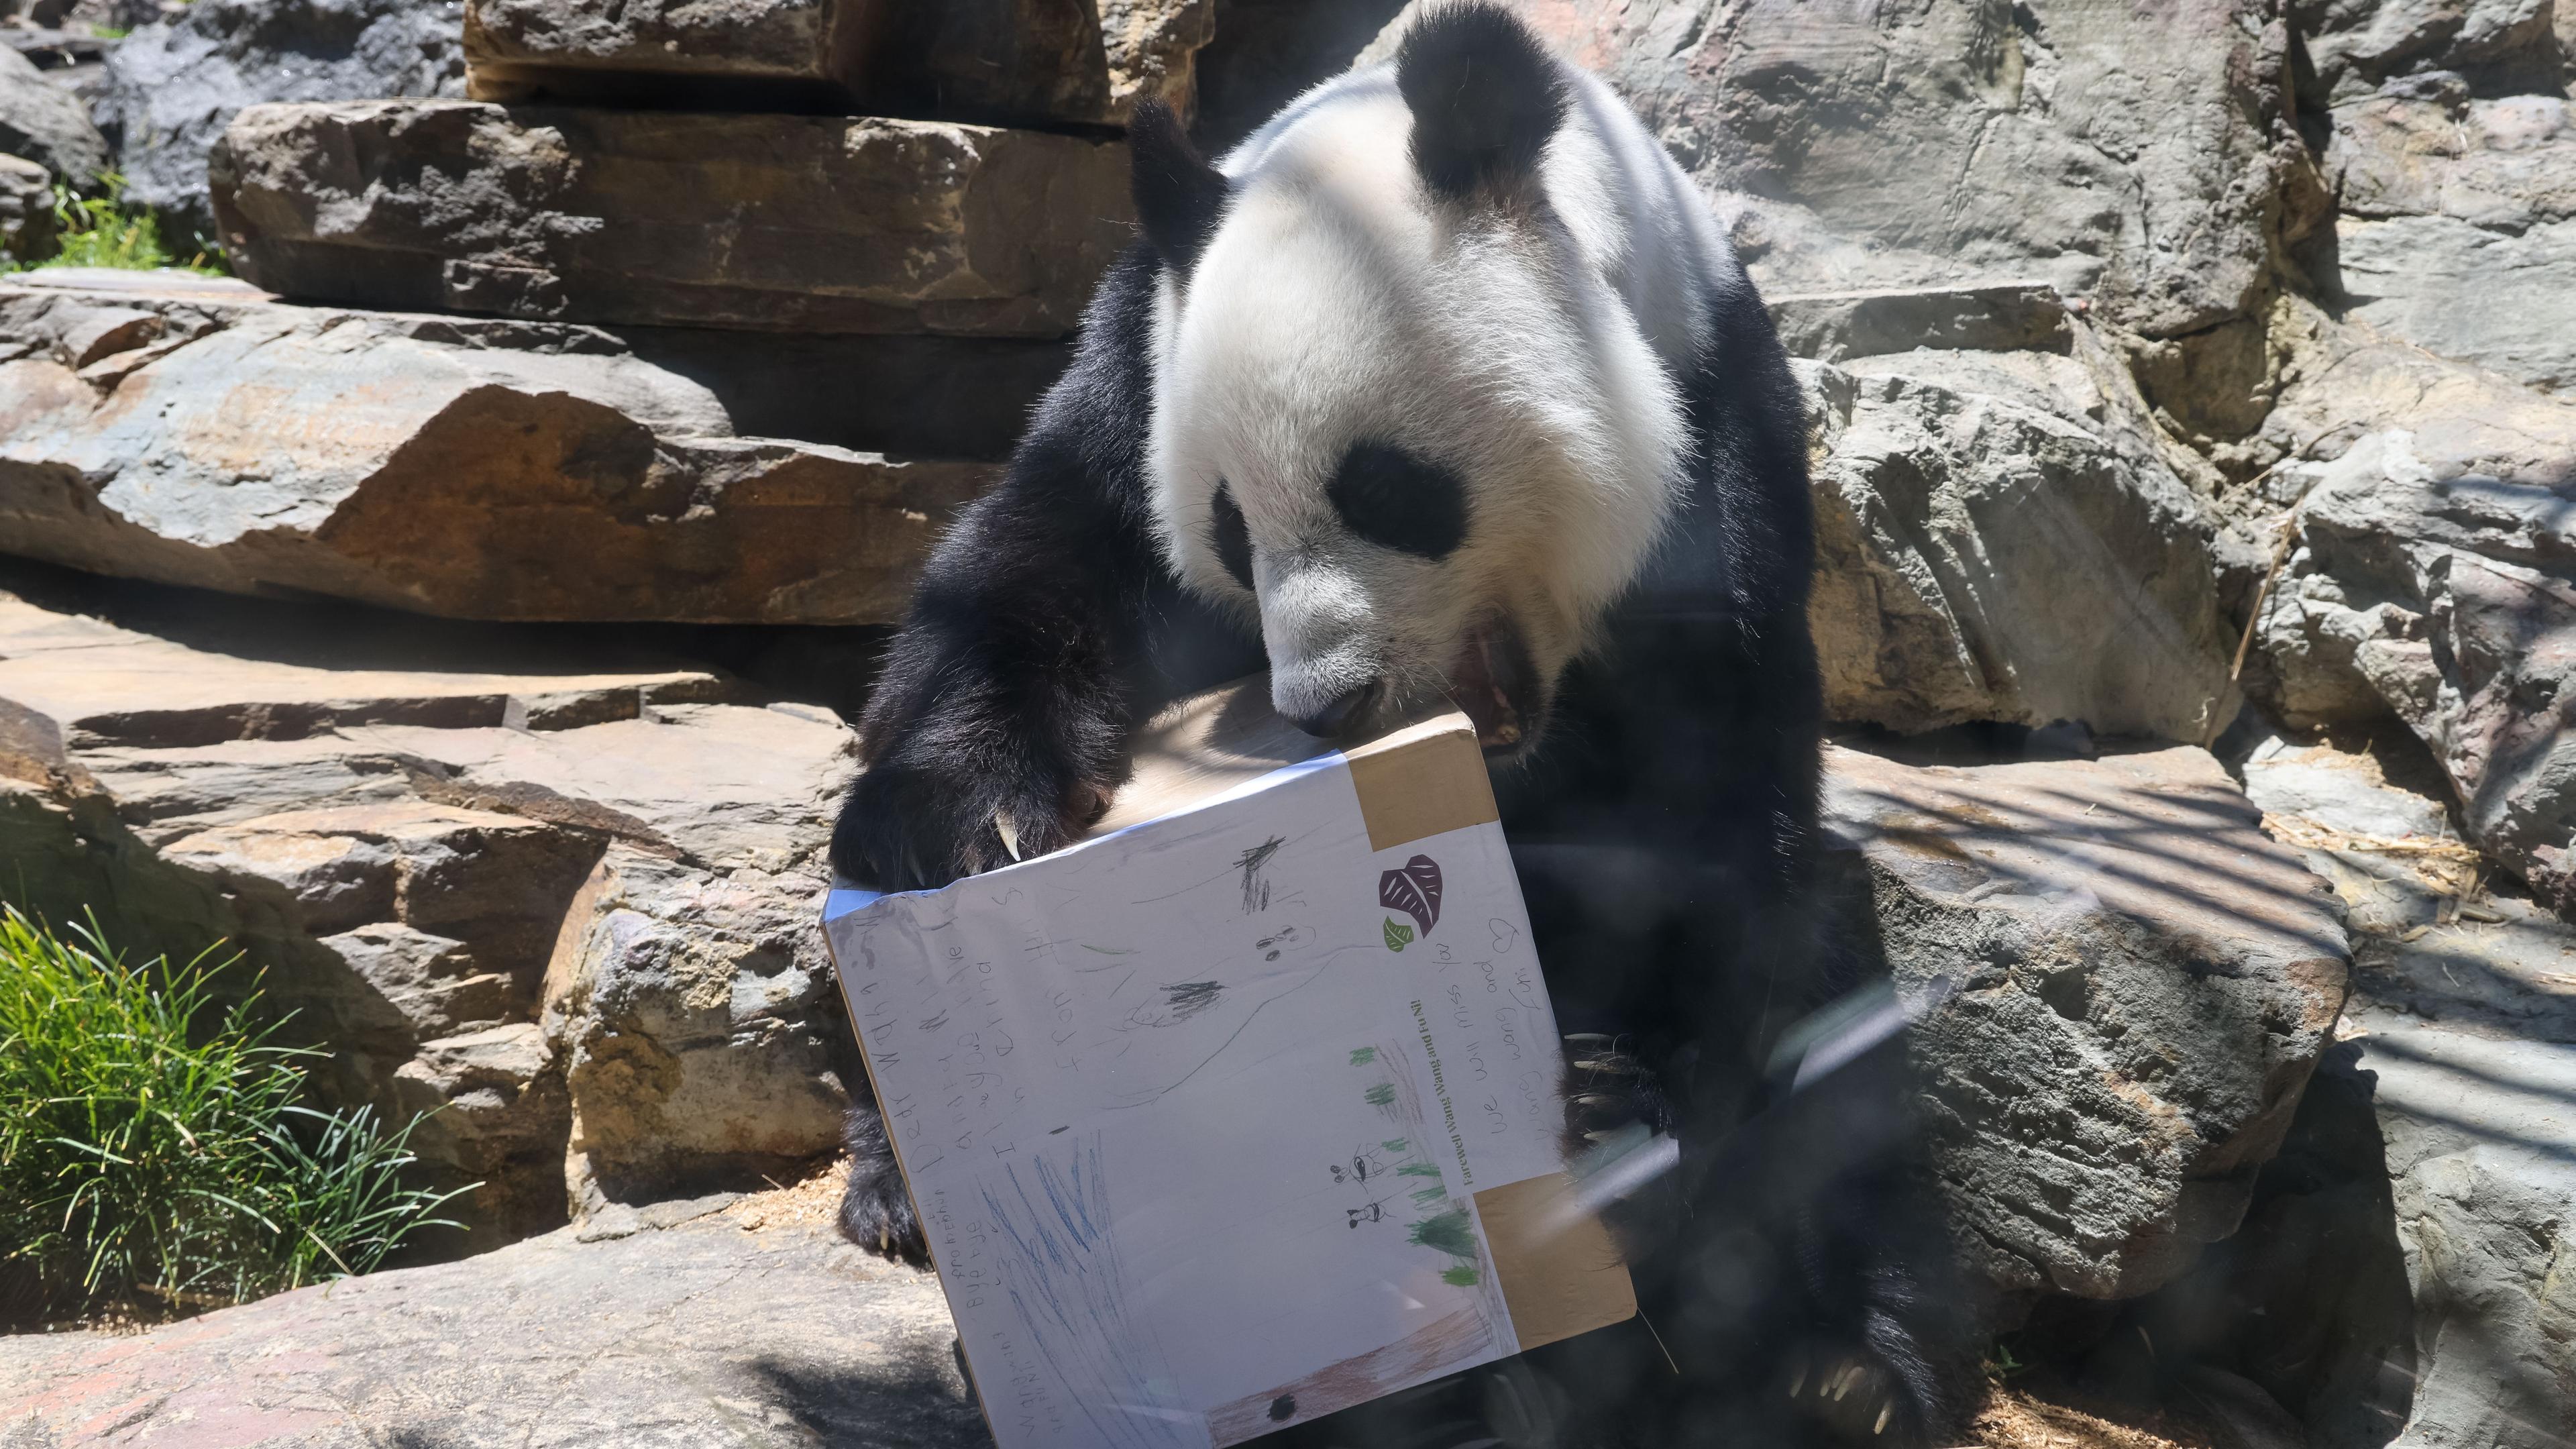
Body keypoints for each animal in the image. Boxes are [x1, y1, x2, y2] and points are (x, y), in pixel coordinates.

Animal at [830, 6, 1979, 1445]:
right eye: (1230, 529)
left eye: (1385, 489)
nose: (1325, 703)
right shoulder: (1133, 371)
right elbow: (1031, 571)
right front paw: (956, 823)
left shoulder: (1718, 431)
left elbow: (1711, 809)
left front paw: (1616, 1123)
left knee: (1839, 1015)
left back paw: (1839, 1372)